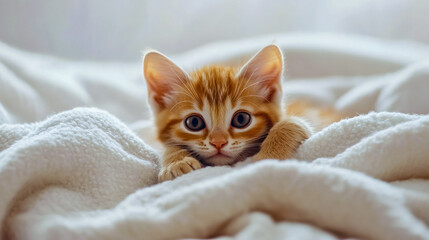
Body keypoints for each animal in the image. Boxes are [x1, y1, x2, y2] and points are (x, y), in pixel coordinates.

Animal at [144, 44, 342, 182]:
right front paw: (176, 162)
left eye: (241, 119)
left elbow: (292, 123)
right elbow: (168, 146)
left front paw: (266, 158)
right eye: (194, 123)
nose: (218, 143)